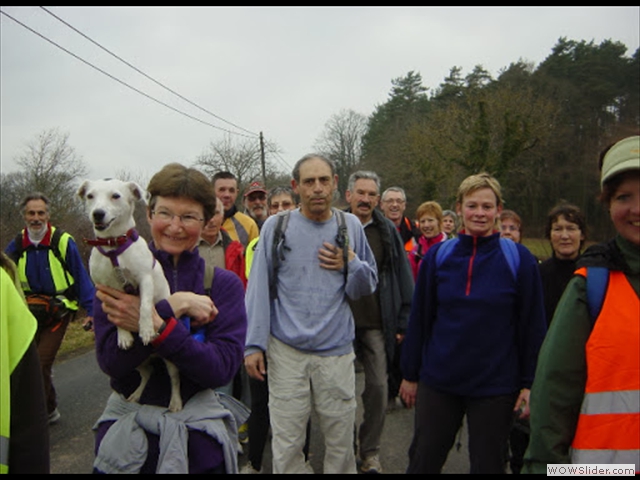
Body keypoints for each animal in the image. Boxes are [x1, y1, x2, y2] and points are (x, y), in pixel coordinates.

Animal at [78, 178, 182, 410]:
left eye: (115, 196)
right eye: (90, 196)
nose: (97, 213)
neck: (113, 247)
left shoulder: (145, 279)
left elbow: (143, 306)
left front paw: (145, 329)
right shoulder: (107, 289)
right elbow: (115, 318)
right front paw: (124, 336)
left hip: (170, 358)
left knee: (174, 378)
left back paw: (175, 401)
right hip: (136, 364)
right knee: (147, 373)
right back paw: (136, 395)